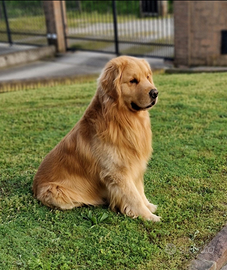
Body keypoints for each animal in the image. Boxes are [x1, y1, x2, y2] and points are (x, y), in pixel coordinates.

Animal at [32, 55, 160, 221]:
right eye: (133, 80)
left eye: (148, 77)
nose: (155, 93)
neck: (121, 119)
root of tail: (34, 186)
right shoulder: (117, 172)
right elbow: (133, 196)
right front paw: (148, 216)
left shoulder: (134, 165)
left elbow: (139, 190)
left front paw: (149, 206)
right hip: (56, 191)